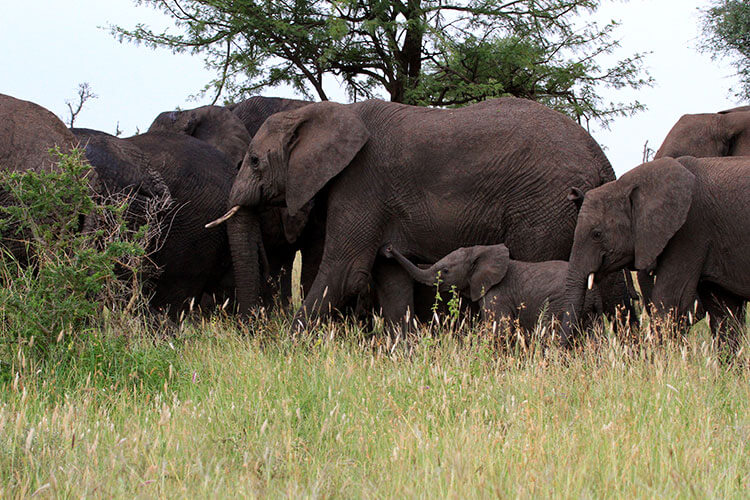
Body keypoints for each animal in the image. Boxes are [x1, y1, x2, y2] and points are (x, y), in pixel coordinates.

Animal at [382, 243, 600, 332]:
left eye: (445, 271)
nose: (388, 249)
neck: (479, 252)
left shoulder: (498, 293)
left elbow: (500, 328)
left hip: (559, 304)